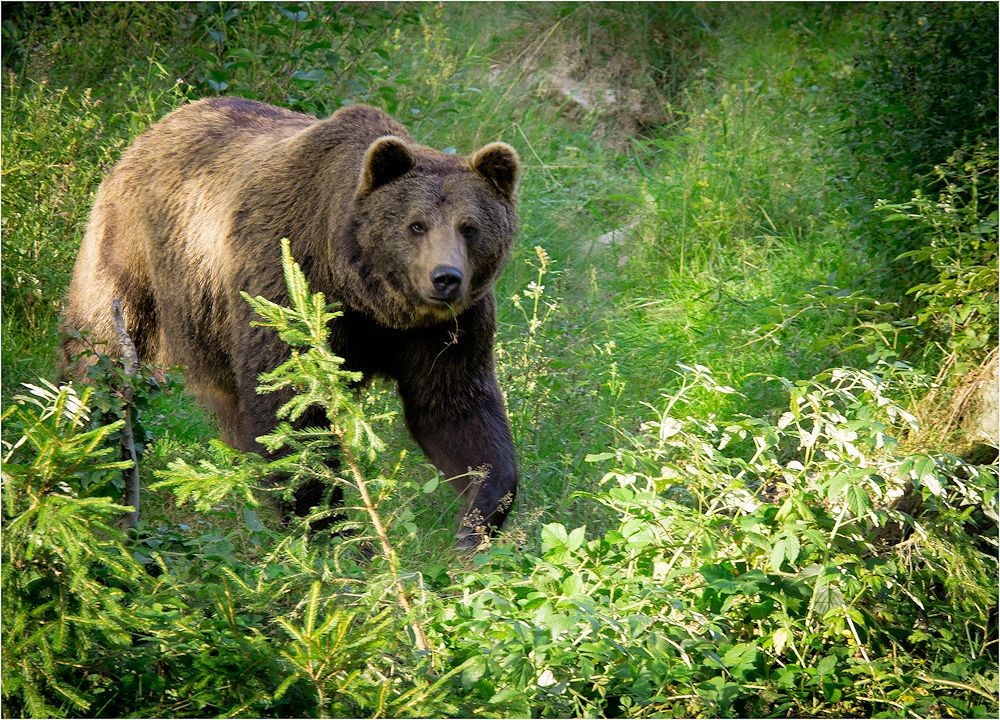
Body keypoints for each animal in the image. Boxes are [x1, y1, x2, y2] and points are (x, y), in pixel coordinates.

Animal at [61, 97, 520, 544]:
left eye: (469, 227)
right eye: (416, 225)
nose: (445, 278)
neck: (368, 297)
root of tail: (154, 129)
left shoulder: (444, 330)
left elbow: (454, 410)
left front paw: (477, 520)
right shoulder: (288, 282)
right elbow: (291, 408)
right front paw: (332, 524)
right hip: (135, 256)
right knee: (99, 346)